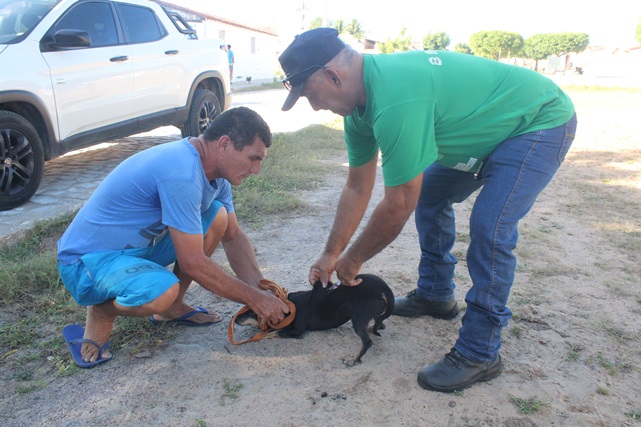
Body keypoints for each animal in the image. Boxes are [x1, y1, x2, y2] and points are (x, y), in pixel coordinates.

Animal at [236, 274, 392, 364]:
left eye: (253, 312)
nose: (235, 319)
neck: (289, 306)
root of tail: (383, 287)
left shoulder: (298, 331)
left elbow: (271, 333)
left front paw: (260, 335)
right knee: (381, 325)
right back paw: (371, 328)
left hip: (358, 317)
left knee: (367, 341)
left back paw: (353, 359)